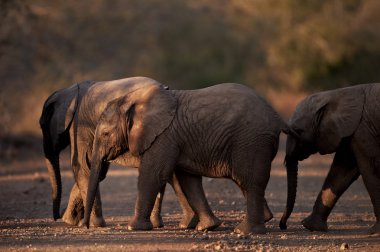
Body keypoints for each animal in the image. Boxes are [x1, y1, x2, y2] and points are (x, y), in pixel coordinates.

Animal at [39, 77, 220, 228]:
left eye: (42, 125)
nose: (56, 216)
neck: (69, 92)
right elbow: (96, 171)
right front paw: (72, 221)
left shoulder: (79, 125)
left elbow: (83, 167)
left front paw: (84, 223)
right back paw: (179, 223)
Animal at [84, 82, 292, 234]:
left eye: (105, 134)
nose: (85, 226)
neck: (132, 100)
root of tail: (277, 118)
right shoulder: (178, 139)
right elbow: (188, 180)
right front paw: (207, 227)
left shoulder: (164, 136)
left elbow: (153, 174)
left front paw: (133, 228)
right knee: (245, 181)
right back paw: (262, 220)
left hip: (251, 140)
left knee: (250, 180)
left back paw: (245, 231)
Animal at [280, 83, 380, 235]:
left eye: (298, 131)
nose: (283, 225)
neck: (335, 95)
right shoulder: (351, 132)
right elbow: (341, 173)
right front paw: (310, 226)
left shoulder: (363, 130)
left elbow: (370, 170)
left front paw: (375, 231)